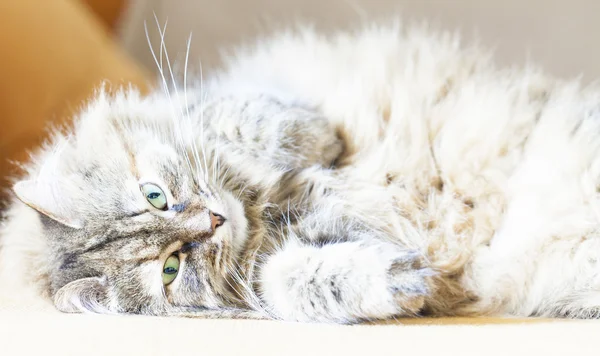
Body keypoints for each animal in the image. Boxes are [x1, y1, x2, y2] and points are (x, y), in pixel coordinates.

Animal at [1, 21, 600, 322]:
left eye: (154, 195)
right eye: (169, 271)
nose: (212, 223)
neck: (266, 211)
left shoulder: (259, 105)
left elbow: (254, 131)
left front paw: (310, 152)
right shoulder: (272, 277)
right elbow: (294, 279)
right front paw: (398, 279)